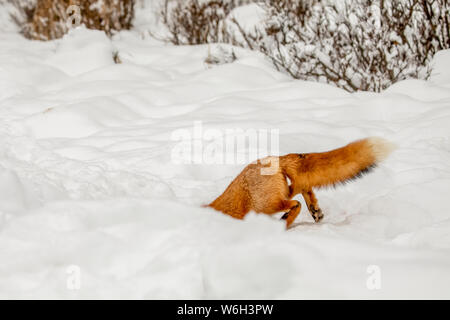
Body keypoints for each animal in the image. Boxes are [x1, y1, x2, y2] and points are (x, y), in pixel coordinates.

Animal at [207, 138, 394, 228]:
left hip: (264, 206)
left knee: (295, 203)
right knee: (301, 187)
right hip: (277, 195)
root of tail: (275, 158)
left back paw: (285, 221)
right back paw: (313, 209)